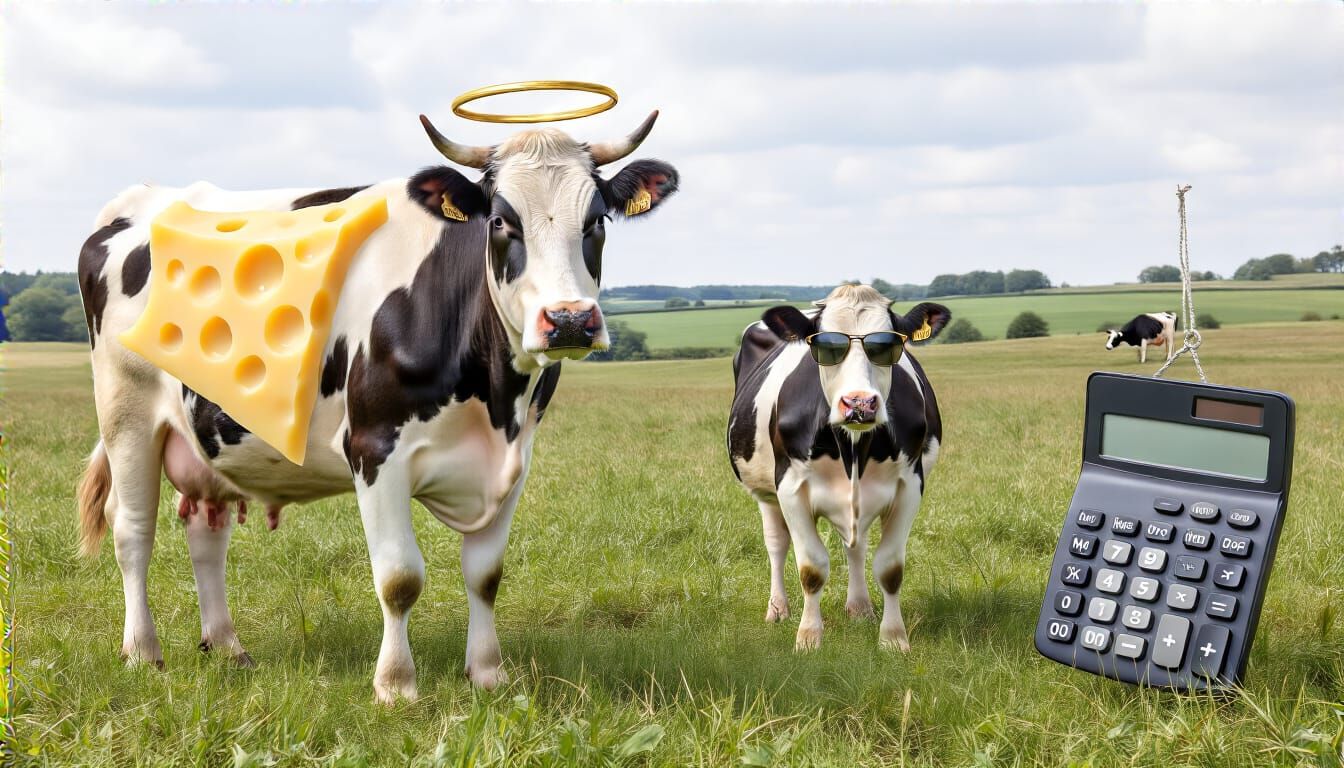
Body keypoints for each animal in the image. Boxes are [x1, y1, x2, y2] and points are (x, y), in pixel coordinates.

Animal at [75, 112, 679, 703]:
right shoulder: (374, 449)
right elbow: (399, 578)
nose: (570, 320)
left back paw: (227, 647)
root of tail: (143, 199)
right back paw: (142, 651)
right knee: (132, 531)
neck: (492, 396)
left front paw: (488, 673)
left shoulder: (515, 459)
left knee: (207, 530)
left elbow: (486, 575)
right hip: (126, 415)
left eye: (596, 221)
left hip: (207, 436)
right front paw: (395, 685)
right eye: (501, 221)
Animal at [726, 284, 950, 651]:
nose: (859, 402)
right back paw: (778, 609)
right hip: (765, 494)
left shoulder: (910, 486)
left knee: (855, 547)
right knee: (776, 543)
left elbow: (890, 568)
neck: (852, 449)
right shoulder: (790, 488)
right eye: (824, 345)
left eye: (888, 344)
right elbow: (811, 568)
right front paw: (808, 637)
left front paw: (893, 638)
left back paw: (859, 607)